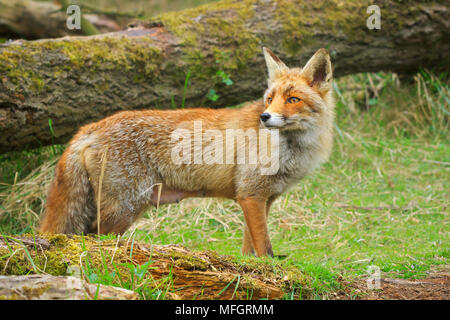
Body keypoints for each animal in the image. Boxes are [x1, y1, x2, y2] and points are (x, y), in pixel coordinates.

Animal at [39, 48, 334, 258]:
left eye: (293, 99)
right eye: (270, 99)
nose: (264, 117)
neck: (291, 150)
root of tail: (89, 127)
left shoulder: (262, 198)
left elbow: (250, 247)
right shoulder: (250, 194)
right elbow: (264, 246)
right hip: (126, 207)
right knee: (91, 236)